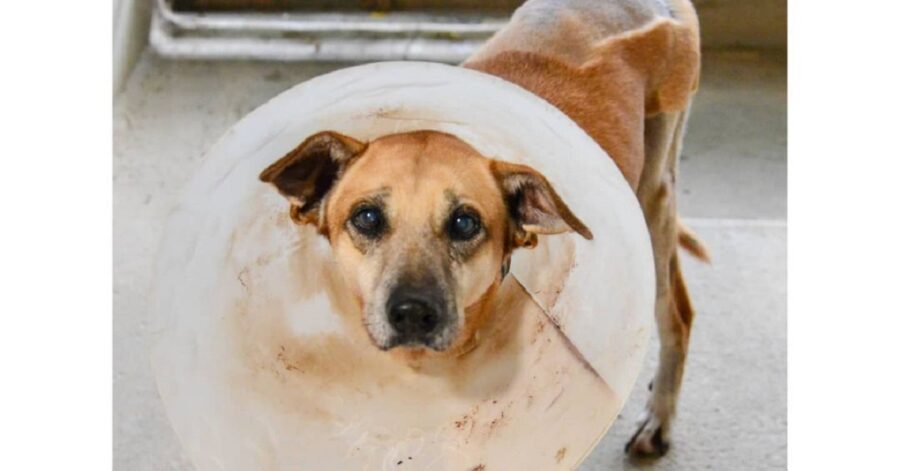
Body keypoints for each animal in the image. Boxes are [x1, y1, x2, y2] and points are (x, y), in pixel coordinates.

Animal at [256, 0, 708, 460]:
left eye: (464, 222)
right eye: (366, 218)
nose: (413, 314)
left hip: (653, 201)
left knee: (678, 313)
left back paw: (658, 420)